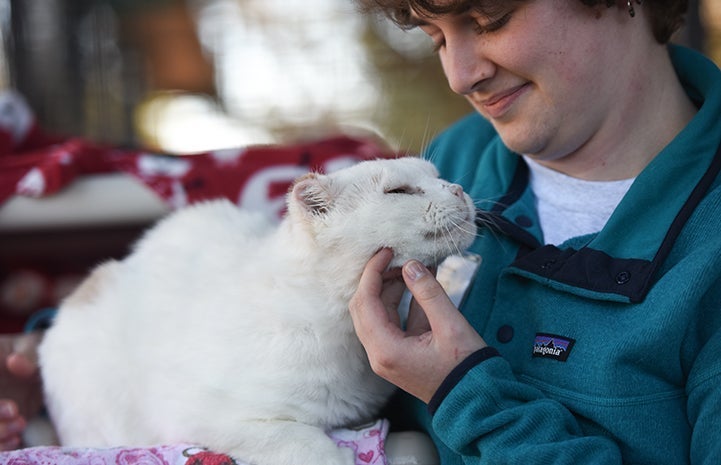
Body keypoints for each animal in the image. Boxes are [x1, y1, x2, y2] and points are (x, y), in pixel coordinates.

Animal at [39, 157, 478, 464]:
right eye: (400, 191)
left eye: (438, 177)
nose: (458, 189)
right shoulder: (207, 418)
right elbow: (307, 447)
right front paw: (339, 455)